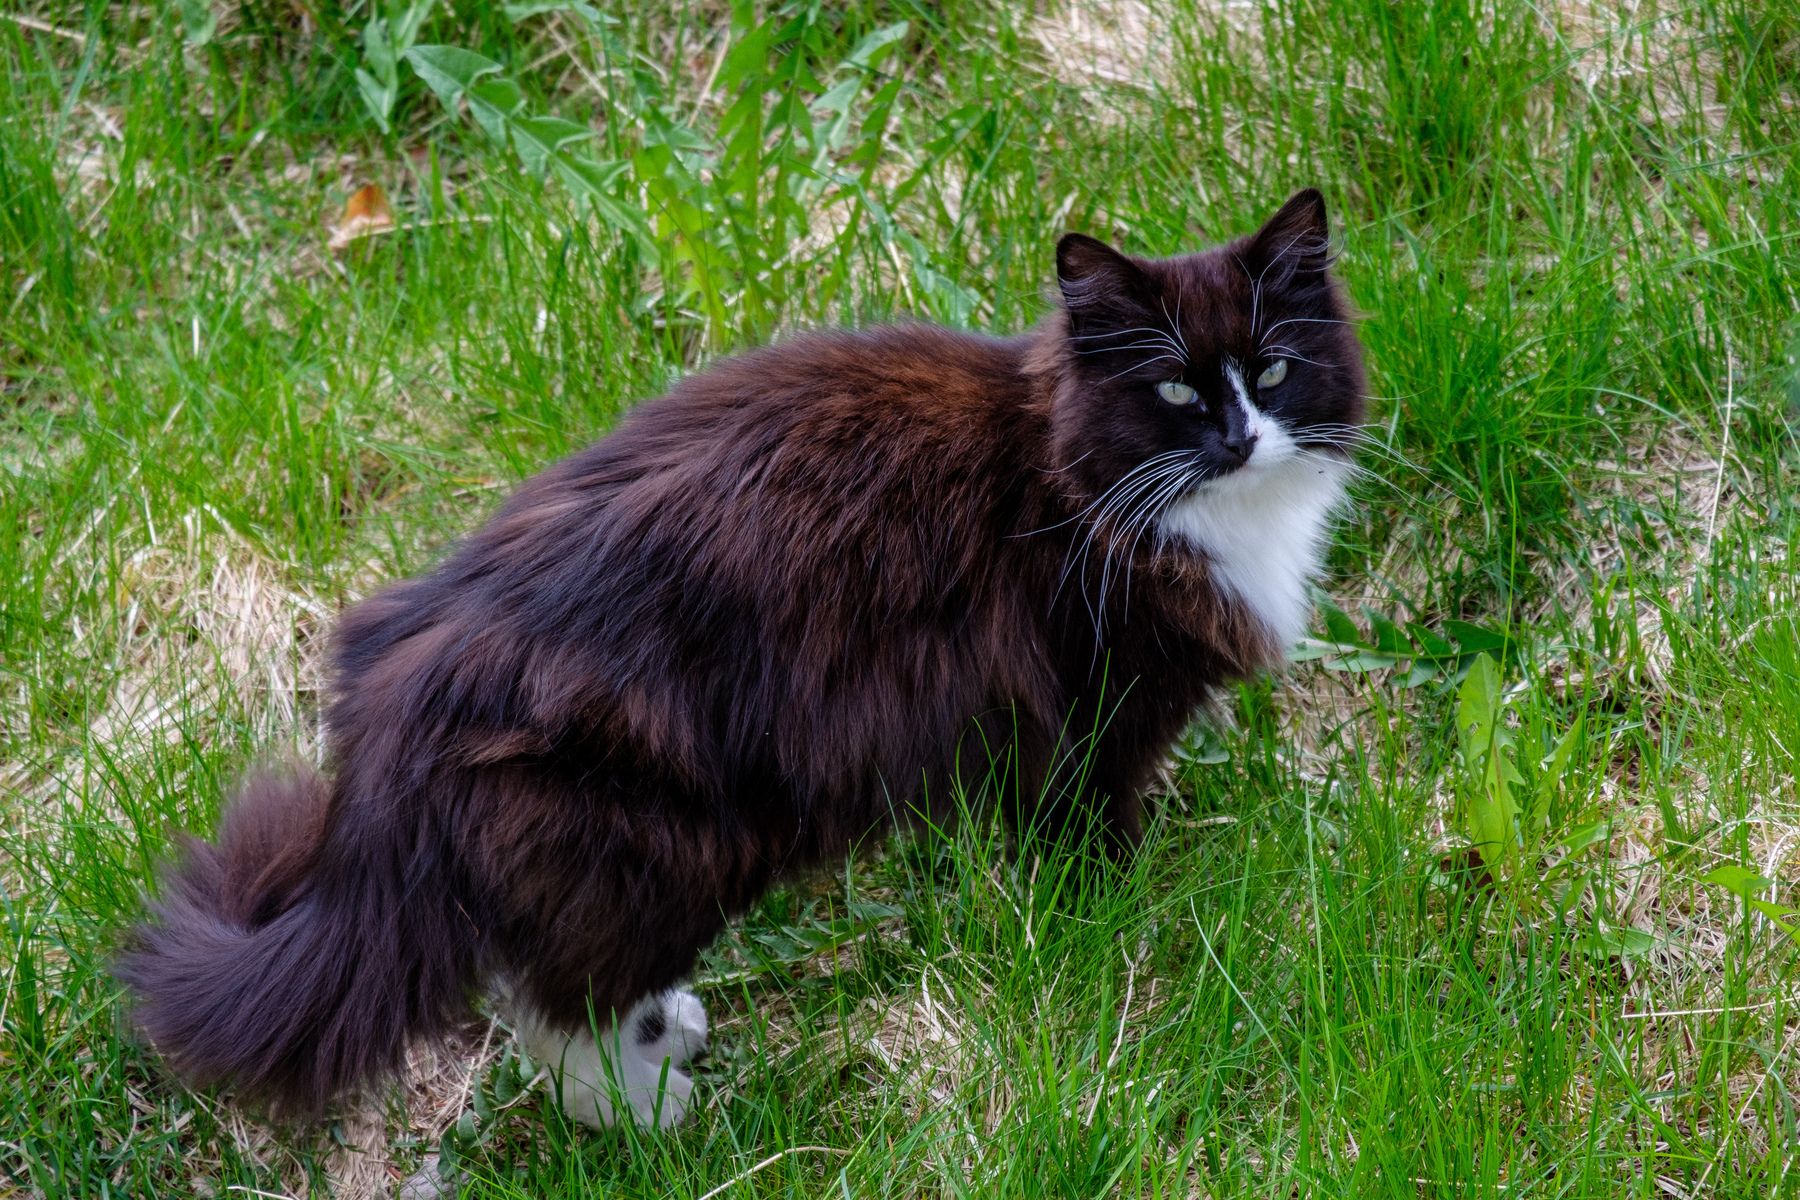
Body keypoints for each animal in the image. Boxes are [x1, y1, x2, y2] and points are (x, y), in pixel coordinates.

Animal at [116, 188, 1360, 1129]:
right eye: (1175, 389)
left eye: (1275, 371)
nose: (1241, 437)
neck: (1081, 480)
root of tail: (392, 705)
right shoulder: (1083, 720)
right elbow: (1093, 851)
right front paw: (1120, 935)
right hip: (677, 834)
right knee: (549, 1006)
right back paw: (641, 1113)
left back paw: (664, 1032)